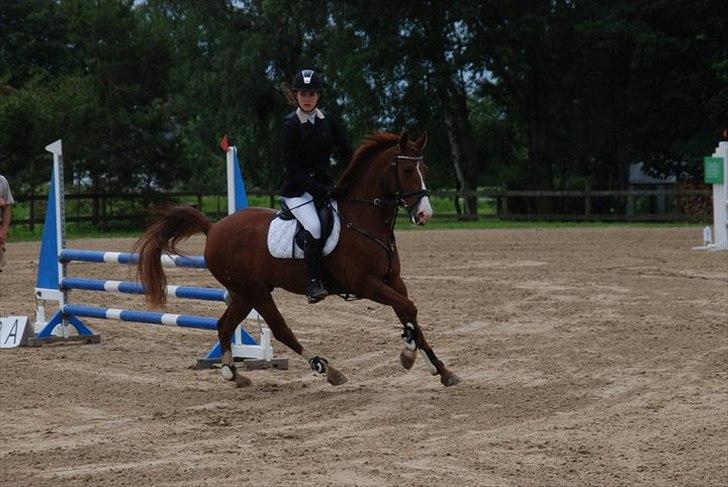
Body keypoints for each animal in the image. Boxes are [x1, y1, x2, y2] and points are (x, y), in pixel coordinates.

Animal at [134, 131, 460, 387]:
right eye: (406, 171)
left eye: (425, 169)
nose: (424, 215)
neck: (364, 220)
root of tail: (213, 228)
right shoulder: (365, 284)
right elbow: (408, 308)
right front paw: (408, 352)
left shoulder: (393, 280)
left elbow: (409, 311)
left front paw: (440, 369)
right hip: (256, 291)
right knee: (280, 329)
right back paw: (326, 368)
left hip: (243, 292)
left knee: (224, 325)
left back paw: (232, 372)